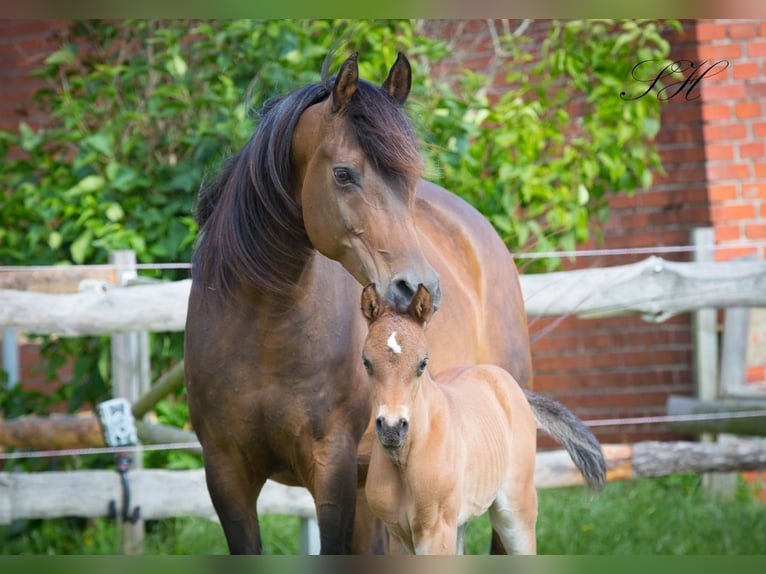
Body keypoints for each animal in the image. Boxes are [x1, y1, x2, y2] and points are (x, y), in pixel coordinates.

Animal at [360, 286, 608, 556]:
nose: (392, 428)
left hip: (515, 512)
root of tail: (512, 386)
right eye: (366, 362)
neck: (404, 460)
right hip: (459, 523)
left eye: (423, 362)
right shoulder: (398, 535)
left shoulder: (436, 532)